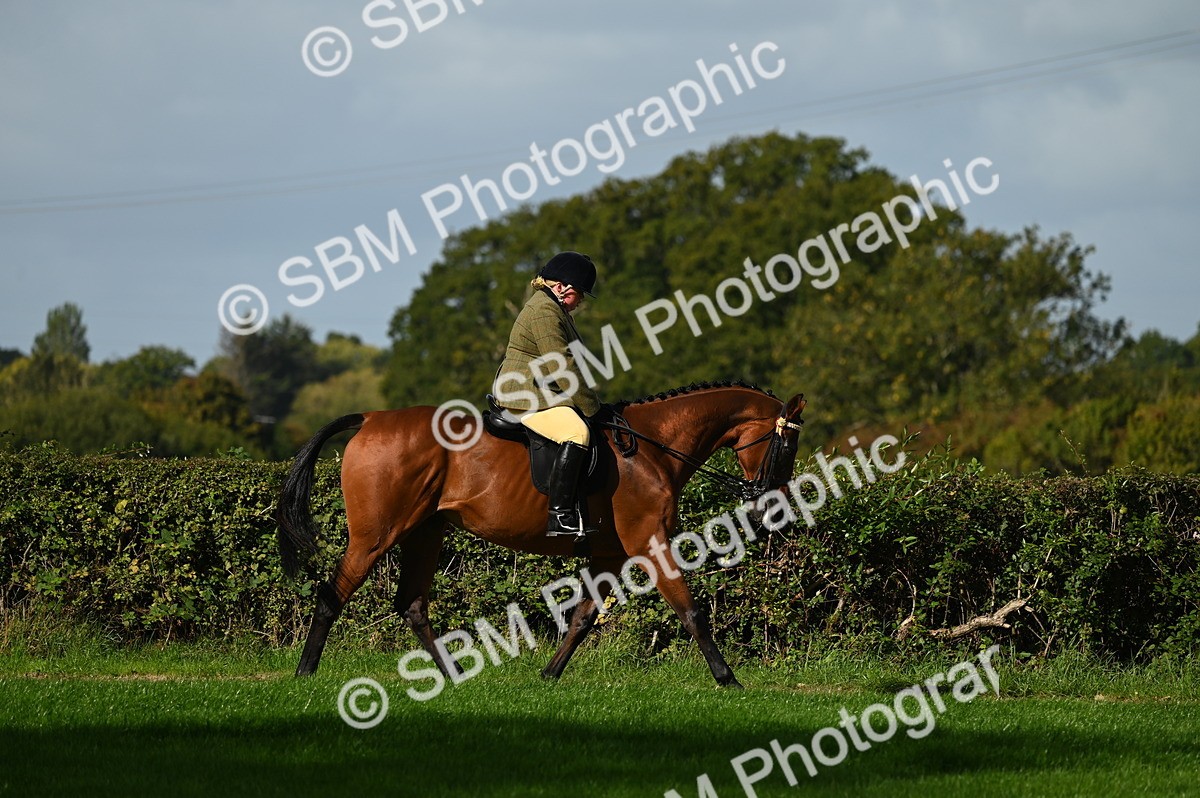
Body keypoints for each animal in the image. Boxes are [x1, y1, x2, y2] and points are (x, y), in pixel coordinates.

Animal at [276, 381, 806, 688]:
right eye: (788, 444)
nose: (774, 506)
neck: (654, 447)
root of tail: (370, 418)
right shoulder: (649, 543)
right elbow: (691, 610)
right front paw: (728, 679)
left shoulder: (610, 555)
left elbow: (583, 618)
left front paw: (549, 674)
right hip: (376, 535)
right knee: (332, 594)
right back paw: (305, 673)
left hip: (425, 533)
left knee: (411, 603)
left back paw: (452, 675)